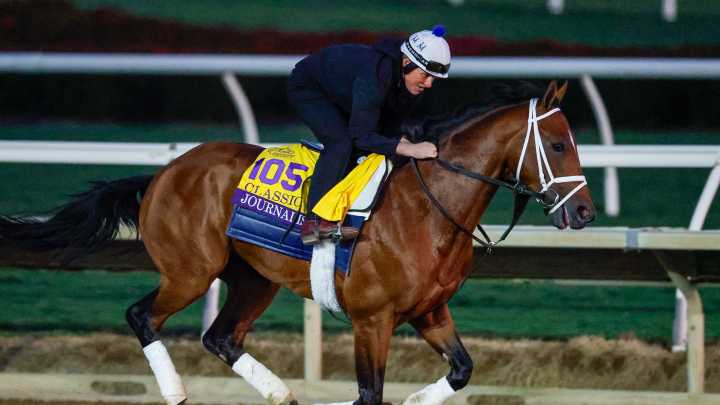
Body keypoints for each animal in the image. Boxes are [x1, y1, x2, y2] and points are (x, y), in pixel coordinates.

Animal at [0, 81, 595, 405]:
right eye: (558, 144)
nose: (586, 211)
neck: (428, 210)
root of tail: (164, 172)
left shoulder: (430, 312)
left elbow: (461, 370)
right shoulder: (372, 320)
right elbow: (370, 392)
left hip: (253, 279)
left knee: (221, 338)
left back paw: (282, 395)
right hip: (190, 271)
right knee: (142, 316)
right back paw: (177, 391)